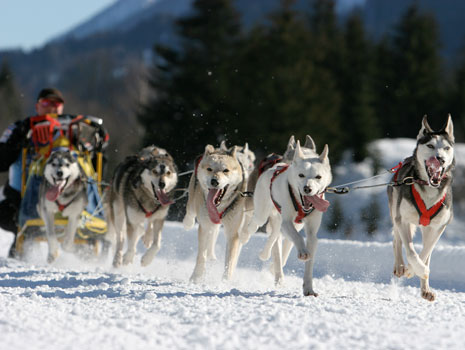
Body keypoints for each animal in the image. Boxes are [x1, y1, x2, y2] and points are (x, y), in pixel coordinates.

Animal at [181, 144, 248, 284]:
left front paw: (225, 281)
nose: (214, 181)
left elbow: (230, 261)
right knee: (191, 213)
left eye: (226, 170)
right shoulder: (205, 226)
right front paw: (196, 277)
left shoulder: (232, 233)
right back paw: (188, 223)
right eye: (209, 169)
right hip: (193, 200)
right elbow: (201, 255)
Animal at [241, 137, 332, 296]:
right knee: (255, 224)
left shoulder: (312, 232)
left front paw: (308, 288)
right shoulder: (287, 222)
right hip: (263, 213)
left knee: (273, 237)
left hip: (277, 220)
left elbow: (308, 258)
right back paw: (245, 236)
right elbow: (297, 238)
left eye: (318, 177)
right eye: (301, 175)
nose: (307, 188)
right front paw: (302, 251)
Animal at [386, 115, 454, 300]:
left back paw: (425, 289)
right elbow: (410, 251)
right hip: (396, 213)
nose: (440, 159)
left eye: (446, 148)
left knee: (426, 253)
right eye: (430, 146)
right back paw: (400, 266)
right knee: (397, 240)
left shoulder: (438, 227)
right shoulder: (402, 220)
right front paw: (411, 269)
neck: (428, 189)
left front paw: (414, 271)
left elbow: (425, 253)